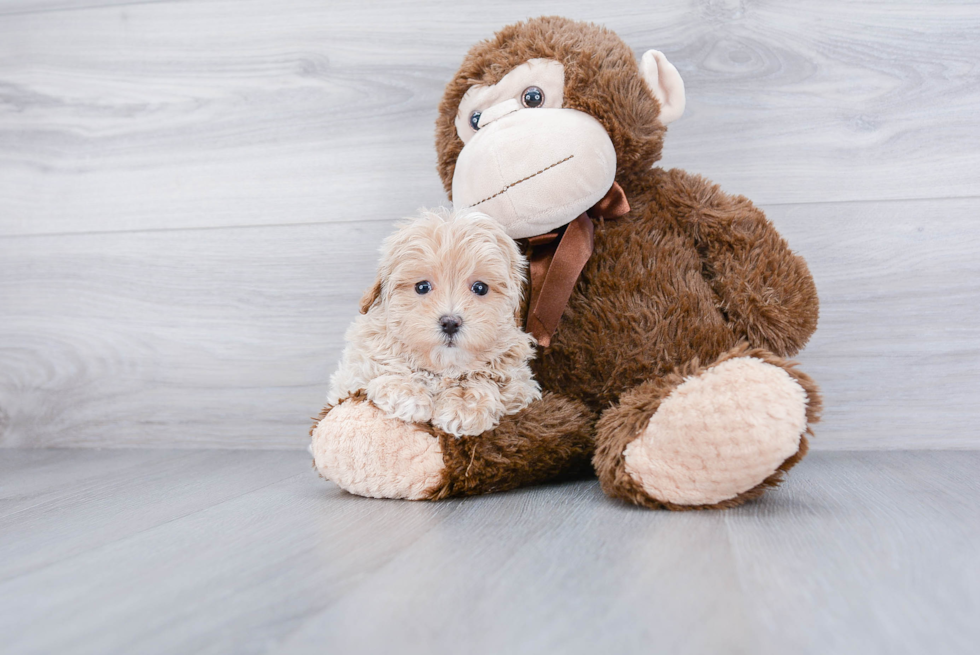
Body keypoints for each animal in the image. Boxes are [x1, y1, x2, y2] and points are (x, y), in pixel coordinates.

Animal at [330, 208, 544, 438]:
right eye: (422, 287)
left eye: (480, 288)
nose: (450, 323)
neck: (444, 368)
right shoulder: (354, 370)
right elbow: (387, 367)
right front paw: (409, 393)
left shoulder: (521, 383)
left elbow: (487, 378)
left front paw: (464, 406)